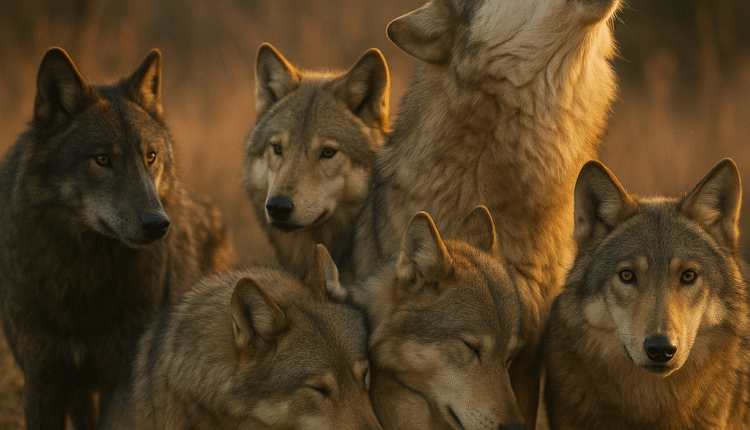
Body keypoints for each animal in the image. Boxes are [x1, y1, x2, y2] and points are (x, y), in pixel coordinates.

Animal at [0, 47, 234, 430]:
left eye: (150, 156)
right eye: (102, 159)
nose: (157, 224)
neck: (83, 276)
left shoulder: (120, 378)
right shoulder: (42, 380)